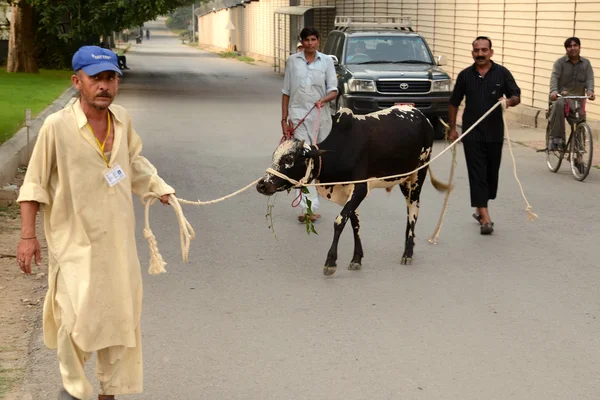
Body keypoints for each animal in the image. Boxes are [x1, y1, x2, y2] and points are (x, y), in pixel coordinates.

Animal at [255, 104, 448, 276]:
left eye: (289, 159)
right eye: (274, 157)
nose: (261, 185)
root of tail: (421, 116)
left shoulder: (360, 188)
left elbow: (340, 221)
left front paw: (331, 262)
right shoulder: (347, 192)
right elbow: (354, 222)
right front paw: (357, 259)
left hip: (417, 176)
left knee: (413, 210)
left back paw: (408, 253)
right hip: (404, 179)